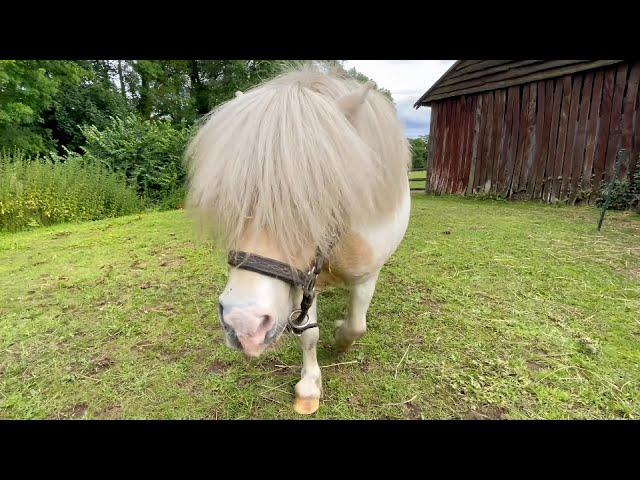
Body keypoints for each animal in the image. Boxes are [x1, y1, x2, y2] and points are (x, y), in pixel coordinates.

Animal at [188, 63, 412, 414]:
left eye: (320, 194)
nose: (244, 325)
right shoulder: (302, 281)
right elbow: (309, 334)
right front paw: (309, 387)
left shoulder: (366, 276)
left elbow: (356, 325)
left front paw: (340, 340)